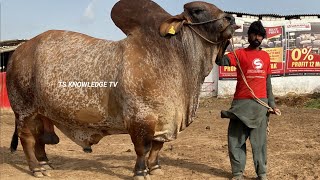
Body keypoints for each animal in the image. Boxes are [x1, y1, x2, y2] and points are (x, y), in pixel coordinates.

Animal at [6, 0, 238, 179]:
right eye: (198, 10)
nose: (231, 19)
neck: (175, 57)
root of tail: (18, 52)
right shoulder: (140, 118)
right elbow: (142, 149)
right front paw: (140, 172)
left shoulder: (164, 119)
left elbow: (157, 147)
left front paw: (155, 168)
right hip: (23, 110)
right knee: (27, 138)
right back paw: (36, 168)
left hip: (40, 112)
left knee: (39, 137)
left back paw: (45, 163)